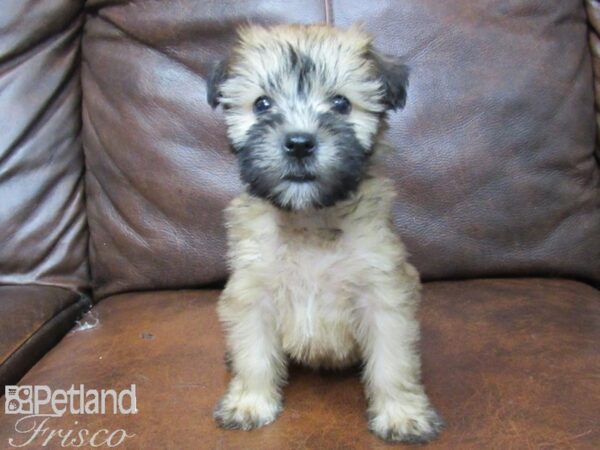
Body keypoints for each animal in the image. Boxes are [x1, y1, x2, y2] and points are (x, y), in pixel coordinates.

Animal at [209, 22, 442, 442]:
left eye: (341, 104)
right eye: (262, 104)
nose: (299, 143)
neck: (310, 219)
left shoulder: (383, 295)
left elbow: (393, 362)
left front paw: (401, 414)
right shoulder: (253, 293)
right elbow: (255, 354)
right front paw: (250, 402)